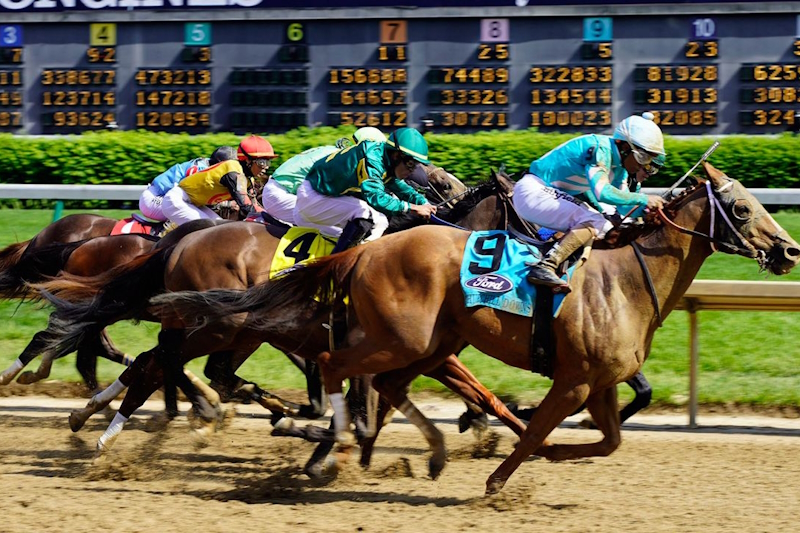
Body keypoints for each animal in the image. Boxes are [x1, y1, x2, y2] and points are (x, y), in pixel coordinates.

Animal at [152, 161, 800, 490]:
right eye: (741, 208)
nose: (788, 249)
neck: (625, 276)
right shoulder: (570, 379)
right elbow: (527, 424)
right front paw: (499, 465)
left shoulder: (593, 381)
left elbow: (601, 433)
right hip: (306, 333)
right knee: (193, 362)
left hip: (382, 339)